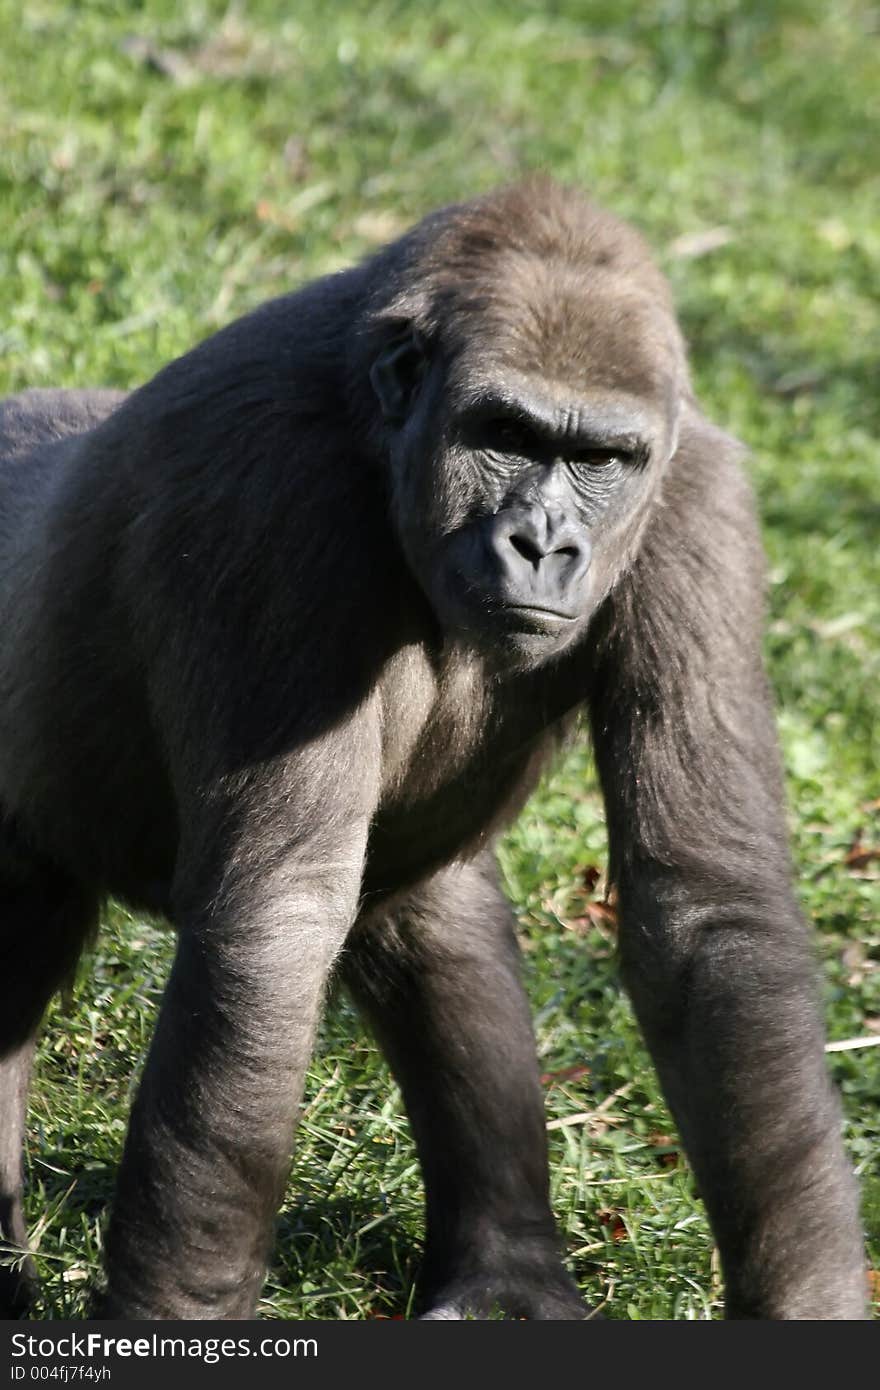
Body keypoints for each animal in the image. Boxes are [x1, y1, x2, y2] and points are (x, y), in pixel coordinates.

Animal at [0, 179, 867, 1317]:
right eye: (504, 432)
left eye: (600, 459)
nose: (543, 544)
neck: (374, 417)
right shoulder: (264, 487)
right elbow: (276, 919)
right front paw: (173, 1314)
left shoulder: (697, 504)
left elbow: (709, 912)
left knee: (435, 920)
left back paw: (506, 1270)